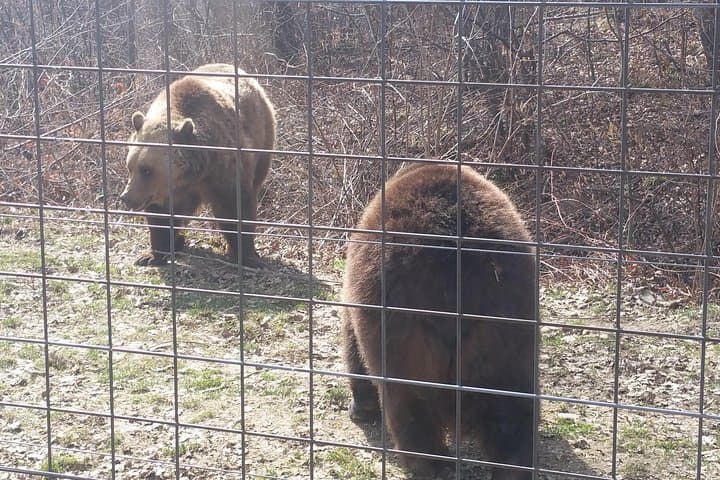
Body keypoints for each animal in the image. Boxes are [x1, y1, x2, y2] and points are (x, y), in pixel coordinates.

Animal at [119, 63, 276, 267]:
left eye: (146, 170)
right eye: (130, 167)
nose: (126, 197)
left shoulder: (224, 169)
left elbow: (235, 208)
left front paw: (247, 256)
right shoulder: (166, 192)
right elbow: (161, 217)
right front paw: (151, 255)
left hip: (263, 135)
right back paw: (178, 242)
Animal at [341, 163, 537, 479]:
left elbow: (352, 346)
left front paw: (361, 407)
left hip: (402, 319)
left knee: (408, 399)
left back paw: (429, 462)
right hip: (503, 318)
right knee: (510, 402)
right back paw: (514, 464)